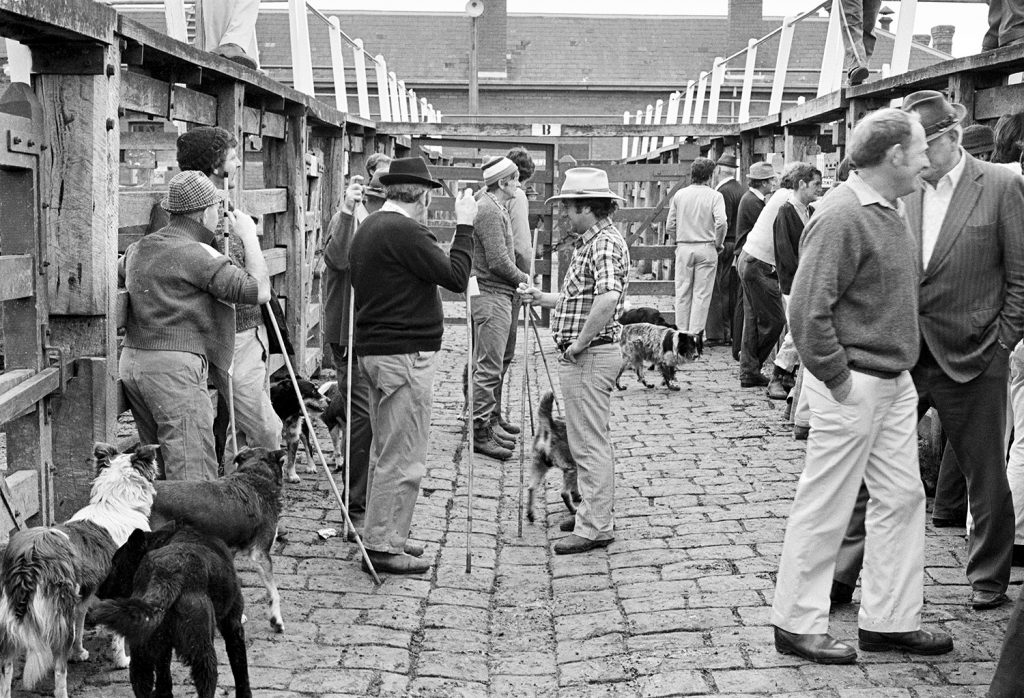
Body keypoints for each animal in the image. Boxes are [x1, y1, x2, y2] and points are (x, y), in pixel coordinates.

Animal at [0, 442, 158, 691]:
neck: (115, 504)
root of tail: (30, 555)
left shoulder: (85, 592)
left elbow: (80, 622)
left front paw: (79, 652)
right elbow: (117, 633)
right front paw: (122, 660)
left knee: (6, 670)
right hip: (57, 616)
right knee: (59, 670)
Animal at [91, 521, 251, 695]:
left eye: (115, 563)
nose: (98, 591)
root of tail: (167, 573)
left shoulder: (164, 647)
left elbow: (164, 677)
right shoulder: (233, 626)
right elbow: (241, 672)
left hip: (140, 656)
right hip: (203, 655)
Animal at [524, 390, 581, 521]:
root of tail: (550, 426)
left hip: (539, 465)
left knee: (531, 488)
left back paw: (531, 514)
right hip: (571, 467)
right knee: (564, 493)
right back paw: (573, 510)